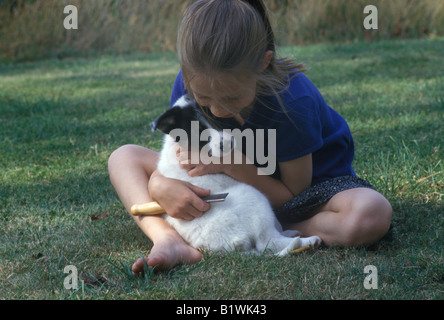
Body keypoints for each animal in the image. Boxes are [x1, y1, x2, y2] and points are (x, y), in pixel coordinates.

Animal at [151, 94, 320, 255]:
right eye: (198, 132)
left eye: (218, 119)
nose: (226, 144)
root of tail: (231, 247)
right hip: (253, 197)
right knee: (267, 242)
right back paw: (308, 240)